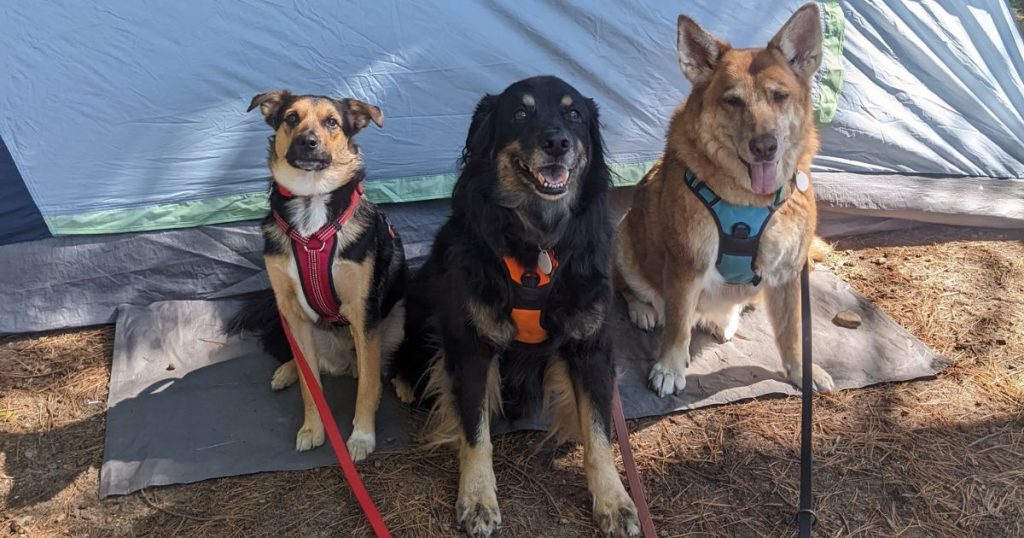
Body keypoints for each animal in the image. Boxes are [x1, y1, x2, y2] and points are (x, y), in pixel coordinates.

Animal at [230, 90, 405, 459]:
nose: (308, 142)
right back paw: (286, 372)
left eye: (332, 122)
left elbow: (368, 385)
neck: (312, 203)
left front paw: (362, 436)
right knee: (305, 363)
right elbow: (311, 387)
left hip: (395, 323)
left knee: (381, 367)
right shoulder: (292, 311)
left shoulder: (363, 311)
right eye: (291, 118)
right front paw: (313, 428)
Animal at [391, 76, 638, 536]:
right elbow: (476, 434)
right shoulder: (471, 346)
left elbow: (598, 433)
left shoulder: (590, 348)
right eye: (521, 113)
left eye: (573, 114)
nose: (557, 142)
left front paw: (613, 501)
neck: (537, 243)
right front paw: (477, 500)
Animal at [610, 4, 835, 395]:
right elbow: (677, 327)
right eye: (733, 101)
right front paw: (669, 368)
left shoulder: (789, 273)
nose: (764, 146)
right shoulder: (686, 265)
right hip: (624, 238)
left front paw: (801, 371)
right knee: (633, 290)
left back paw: (724, 319)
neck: (748, 200)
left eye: (779, 96)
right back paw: (644, 309)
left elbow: (793, 332)